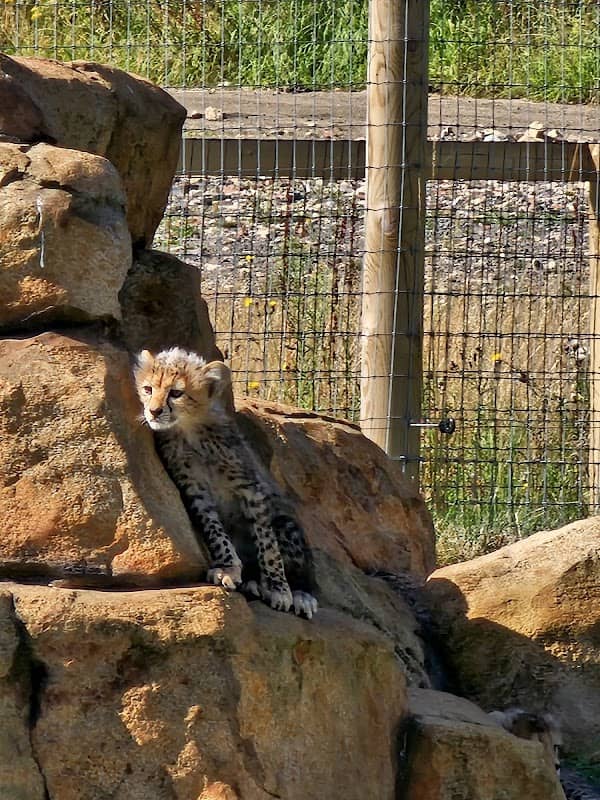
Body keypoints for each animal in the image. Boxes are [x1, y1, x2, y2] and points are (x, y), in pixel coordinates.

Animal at [134, 346, 318, 618]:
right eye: (148, 389)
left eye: (176, 393)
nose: (154, 411)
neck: (191, 429)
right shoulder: (194, 489)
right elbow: (214, 531)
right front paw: (227, 567)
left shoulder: (250, 488)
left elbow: (267, 543)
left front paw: (278, 588)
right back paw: (252, 582)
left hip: (286, 523)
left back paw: (301, 594)